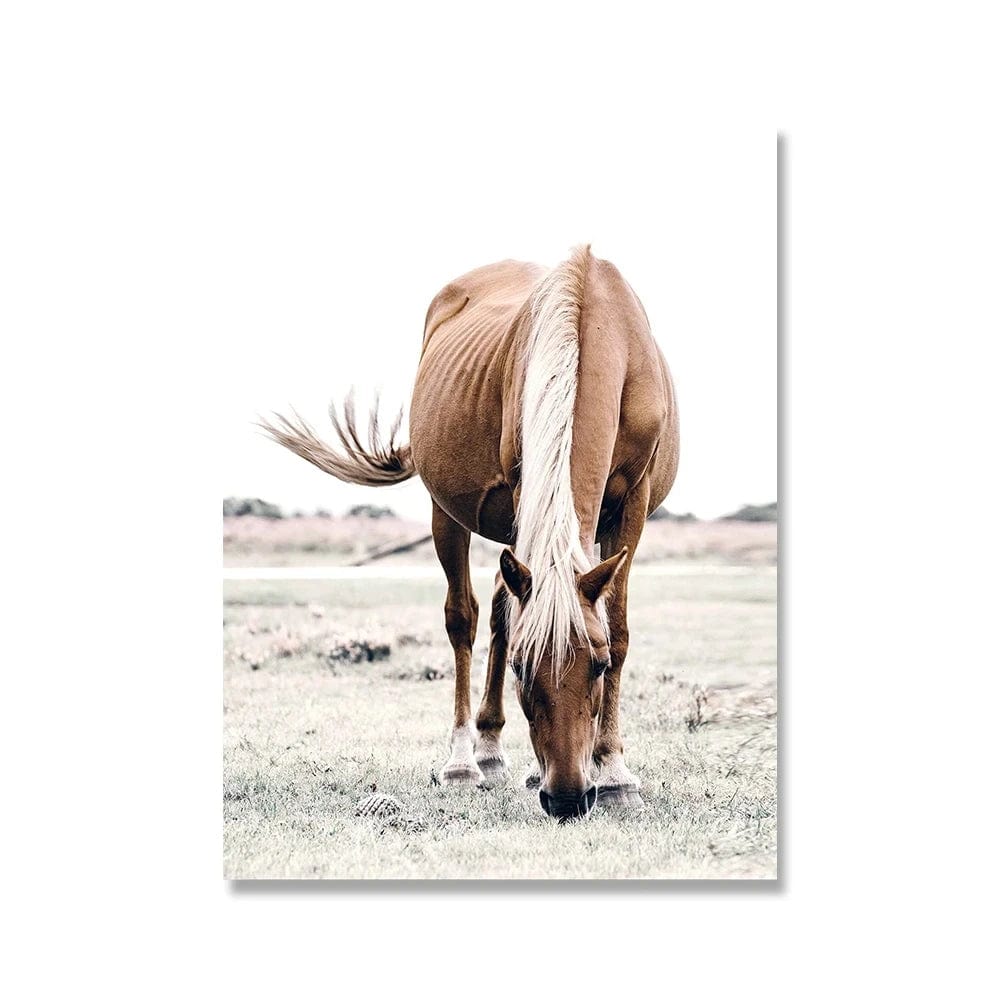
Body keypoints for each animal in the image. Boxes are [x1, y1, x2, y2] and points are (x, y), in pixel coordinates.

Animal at [262, 245, 679, 820]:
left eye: (596, 667)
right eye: (523, 669)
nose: (567, 798)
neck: (594, 325)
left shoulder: (632, 508)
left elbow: (615, 628)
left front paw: (615, 773)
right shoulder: (523, 487)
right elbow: (496, 623)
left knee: (505, 604)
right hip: (449, 513)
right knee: (467, 617)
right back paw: (469, 757)